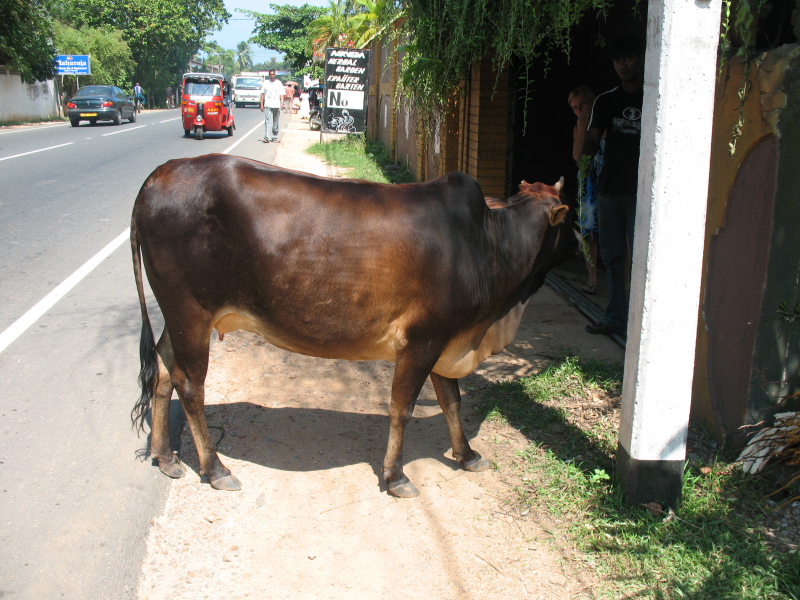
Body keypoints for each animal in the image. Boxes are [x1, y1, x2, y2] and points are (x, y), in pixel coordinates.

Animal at [131, 154, 572, 496]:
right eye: (568, 222)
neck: (486, 245)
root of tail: (157, 177)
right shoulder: (424, 340)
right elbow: (401, 408)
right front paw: (396, 476)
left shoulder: (448, 339)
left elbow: (452, 401)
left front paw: (466, 455)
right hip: (191, 312)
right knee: (191, 386)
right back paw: (216, 469)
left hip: (178, 316)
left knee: (163, 372)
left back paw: (166, 456)